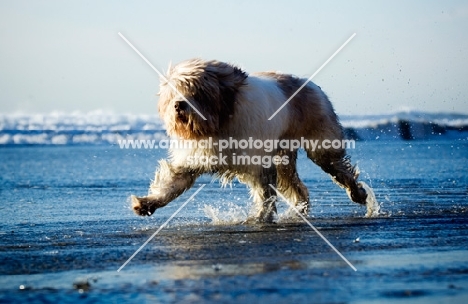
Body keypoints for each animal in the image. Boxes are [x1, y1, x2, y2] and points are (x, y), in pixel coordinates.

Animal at [130, 58, 378, 222]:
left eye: (197, 92)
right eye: (174, 90)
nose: (179, 105)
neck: (219, 124)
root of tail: (310, 84)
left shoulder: (258, 163)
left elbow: (265, 194)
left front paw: (260, 217)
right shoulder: (191, 161)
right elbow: (170, 186)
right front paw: (146, 203)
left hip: (321, 143)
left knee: (339, 169)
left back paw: (358, 193)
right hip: (284, 158)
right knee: (298, 188)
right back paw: (299, 210)